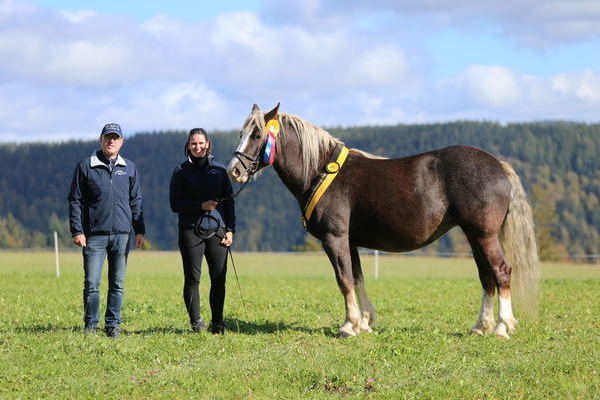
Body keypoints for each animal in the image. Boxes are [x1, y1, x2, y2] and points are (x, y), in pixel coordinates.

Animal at [226, 103, 540, 338]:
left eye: (257, 135)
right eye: (241, 132)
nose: (234, 170)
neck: (321, 171)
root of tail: (498, 165)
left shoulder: (334, 238)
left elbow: (344, 280)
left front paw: (348, 326)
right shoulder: (350, 242)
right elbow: (358, 278)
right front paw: (364, 322)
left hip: (484, 235)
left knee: (501, 272)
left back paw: (501, 327)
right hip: (476, 237)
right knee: (486, 276)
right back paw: (480, 326)